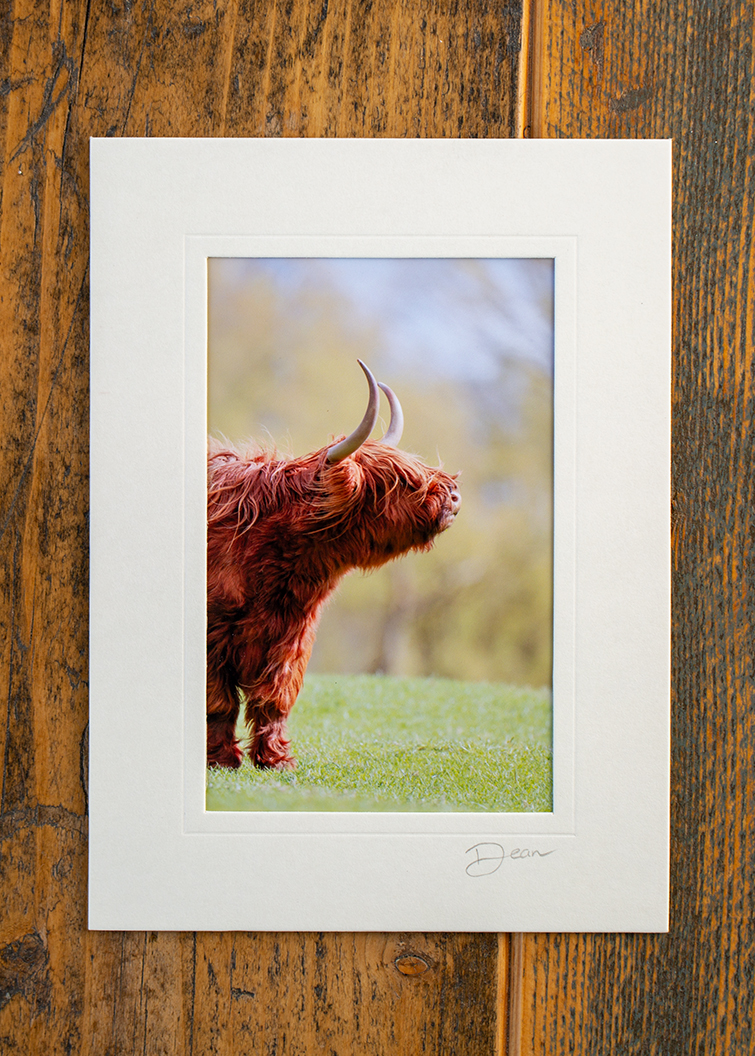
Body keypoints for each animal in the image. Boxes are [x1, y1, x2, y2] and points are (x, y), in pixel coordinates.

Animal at [206, 360, 461, 769]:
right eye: (399, 480)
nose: (453, 496)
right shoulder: (215, 632)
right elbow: (220, 699)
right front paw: (222, 760)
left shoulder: (293, 635)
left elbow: (275, 697)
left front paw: (277, 759)